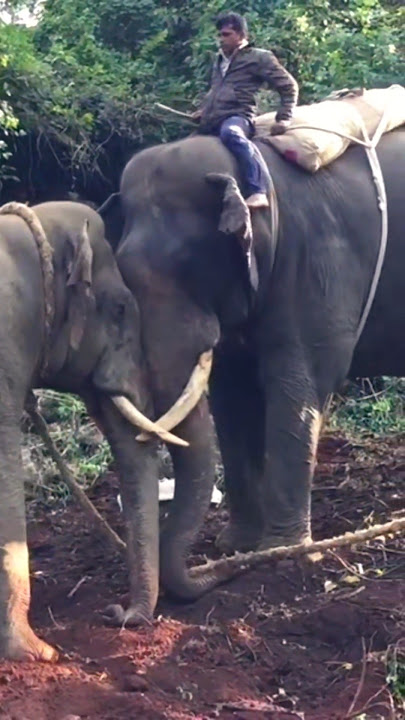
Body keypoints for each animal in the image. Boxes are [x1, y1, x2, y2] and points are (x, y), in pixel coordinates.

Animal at [99, 127, 404, 626]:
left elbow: (297, 388)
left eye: (190, 262)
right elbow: (231, 399)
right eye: (123, 271)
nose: (116, 613)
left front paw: (282, 556)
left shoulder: (318, 264)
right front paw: (237, 545)